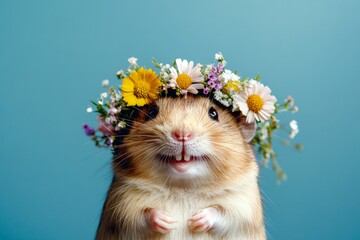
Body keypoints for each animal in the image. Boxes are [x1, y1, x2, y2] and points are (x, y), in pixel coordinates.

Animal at [95, 94, 264, 239]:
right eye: (152, 112)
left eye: (214, 113)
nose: (182, 134)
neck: (184, 188)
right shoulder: (121, 207)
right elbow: (143, 214)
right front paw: (168, 221)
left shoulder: (243, 207)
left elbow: (221, 211)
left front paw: (196, 220)